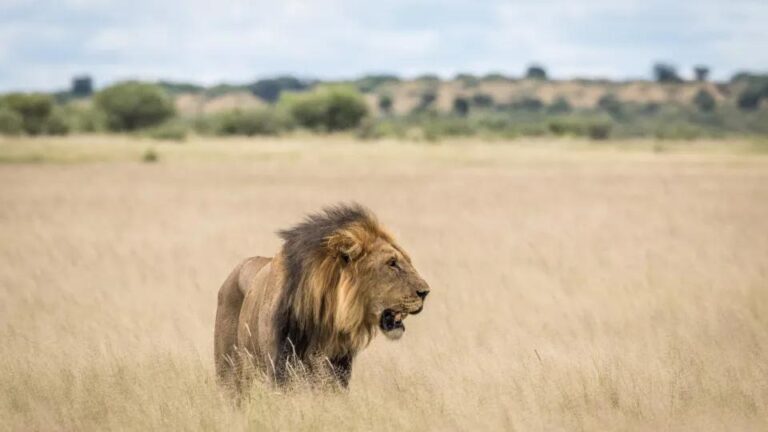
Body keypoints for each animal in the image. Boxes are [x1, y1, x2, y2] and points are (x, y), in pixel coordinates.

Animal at [214, 203, 430, 392]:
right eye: (392, 263)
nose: (426, 292)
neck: (325, 320)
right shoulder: (280, 368)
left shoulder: (338, 371)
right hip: (229, 372)